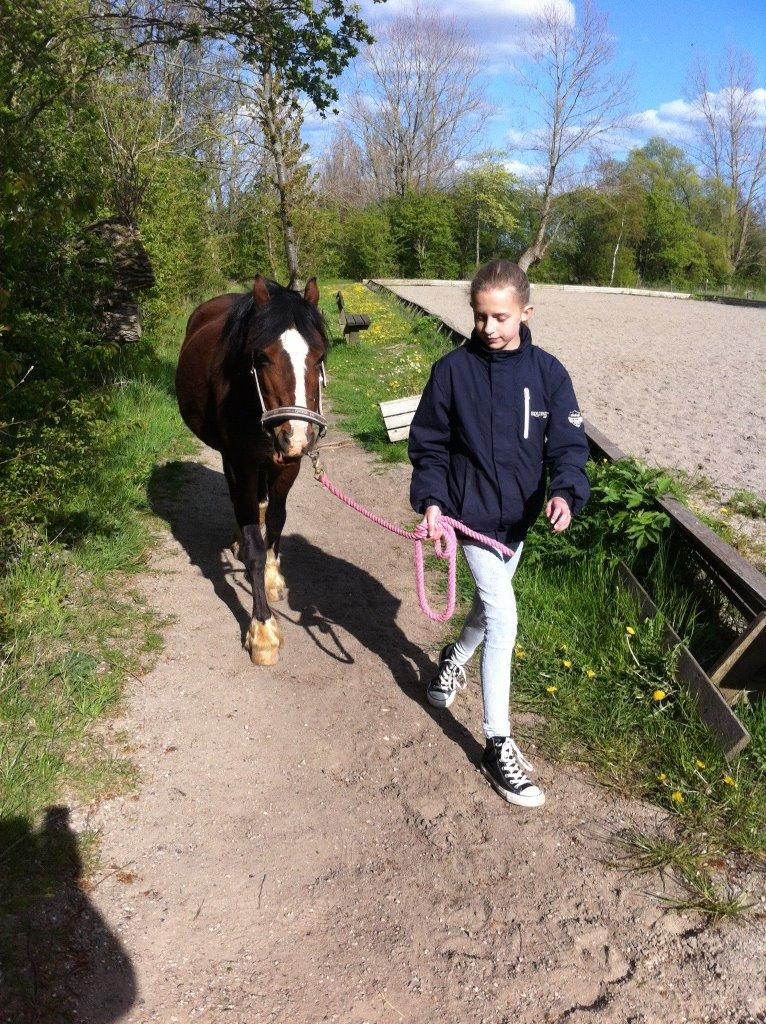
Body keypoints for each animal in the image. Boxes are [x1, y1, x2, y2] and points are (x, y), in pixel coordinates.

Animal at [176, 276, 329, 667]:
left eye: (320, 356)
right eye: (261, 357)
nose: (296, 436)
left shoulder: (288, 465)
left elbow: (275, 519)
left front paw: (273, 577)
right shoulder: (242, 463)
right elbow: (254, 546)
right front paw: (262, 630)